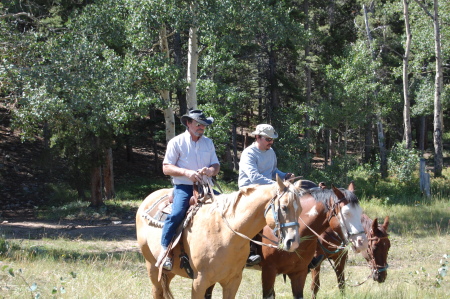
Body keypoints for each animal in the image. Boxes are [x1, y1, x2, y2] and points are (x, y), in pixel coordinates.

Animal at [135, 176, 300, 299]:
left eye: (300, 209)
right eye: (284, 207)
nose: (293, 242)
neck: (226, 235)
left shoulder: (232, 281)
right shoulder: (199, 282)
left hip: (168, 272)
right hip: (152, 267)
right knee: (156, 291)